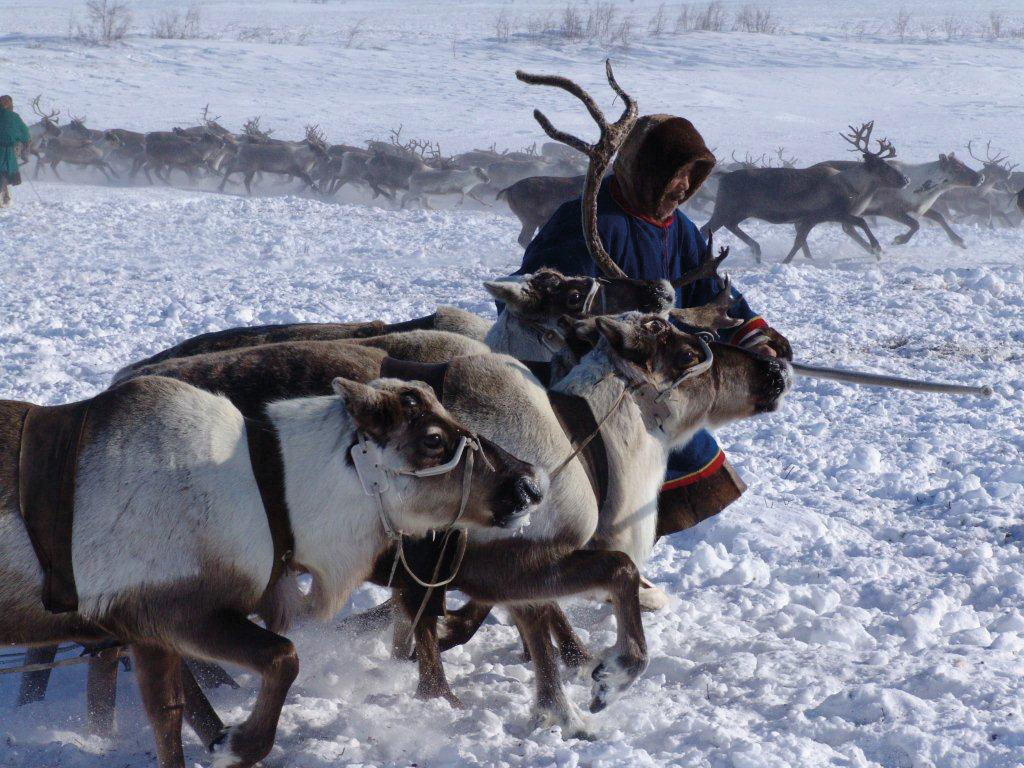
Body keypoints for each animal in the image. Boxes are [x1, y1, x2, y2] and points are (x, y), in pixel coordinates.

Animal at [702, 121, 909, 263]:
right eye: (884, 166)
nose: (906, 179)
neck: (852, 187)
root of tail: (722, 176)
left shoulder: (815, 218)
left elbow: (800, 242)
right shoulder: (827, 214)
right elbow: (861, 222)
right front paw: (877, 248)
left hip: (738, 212)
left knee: (729, 226)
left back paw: (756, 250)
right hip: (725, 208)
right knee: (707, 228)